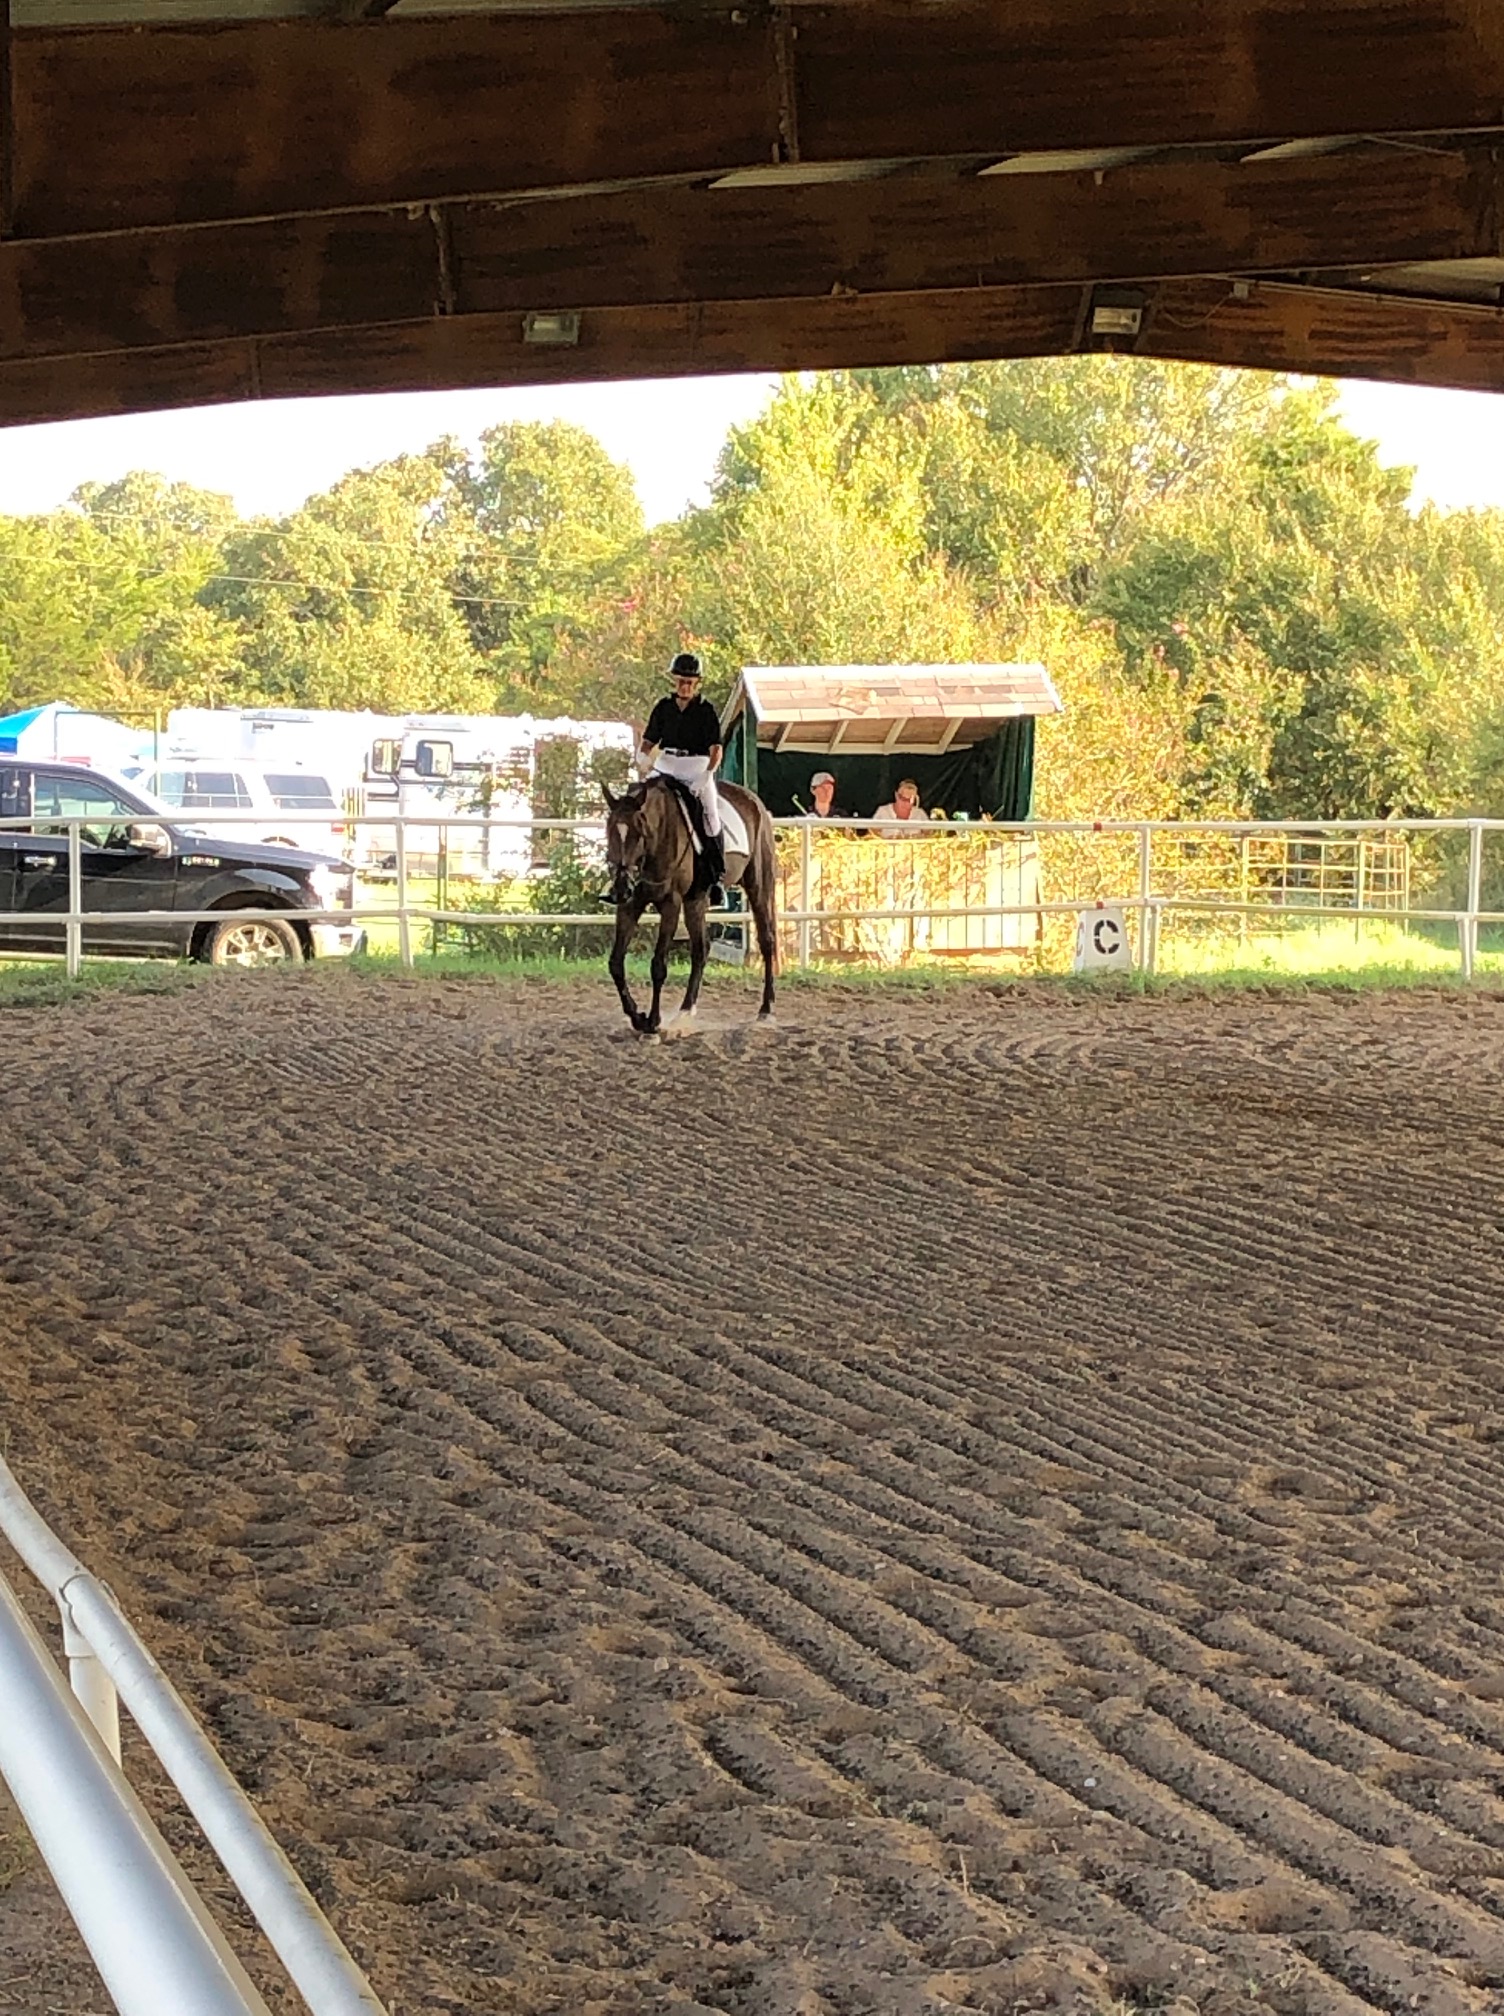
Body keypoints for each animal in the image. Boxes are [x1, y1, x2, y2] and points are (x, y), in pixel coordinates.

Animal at [602, 776, 778, 1033]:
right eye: (609, 830)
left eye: (639, 832)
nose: (622, 886)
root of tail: (755, 801)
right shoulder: (630, 905)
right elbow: (615, 963)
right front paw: (637, 1017)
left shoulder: (671, 905)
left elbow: (658, 966)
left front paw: (653, 1021)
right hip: (696, 901)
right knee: (701, 948)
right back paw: (685, 1011)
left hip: (759, 887)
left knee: (766, 941)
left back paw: (766, 1009)